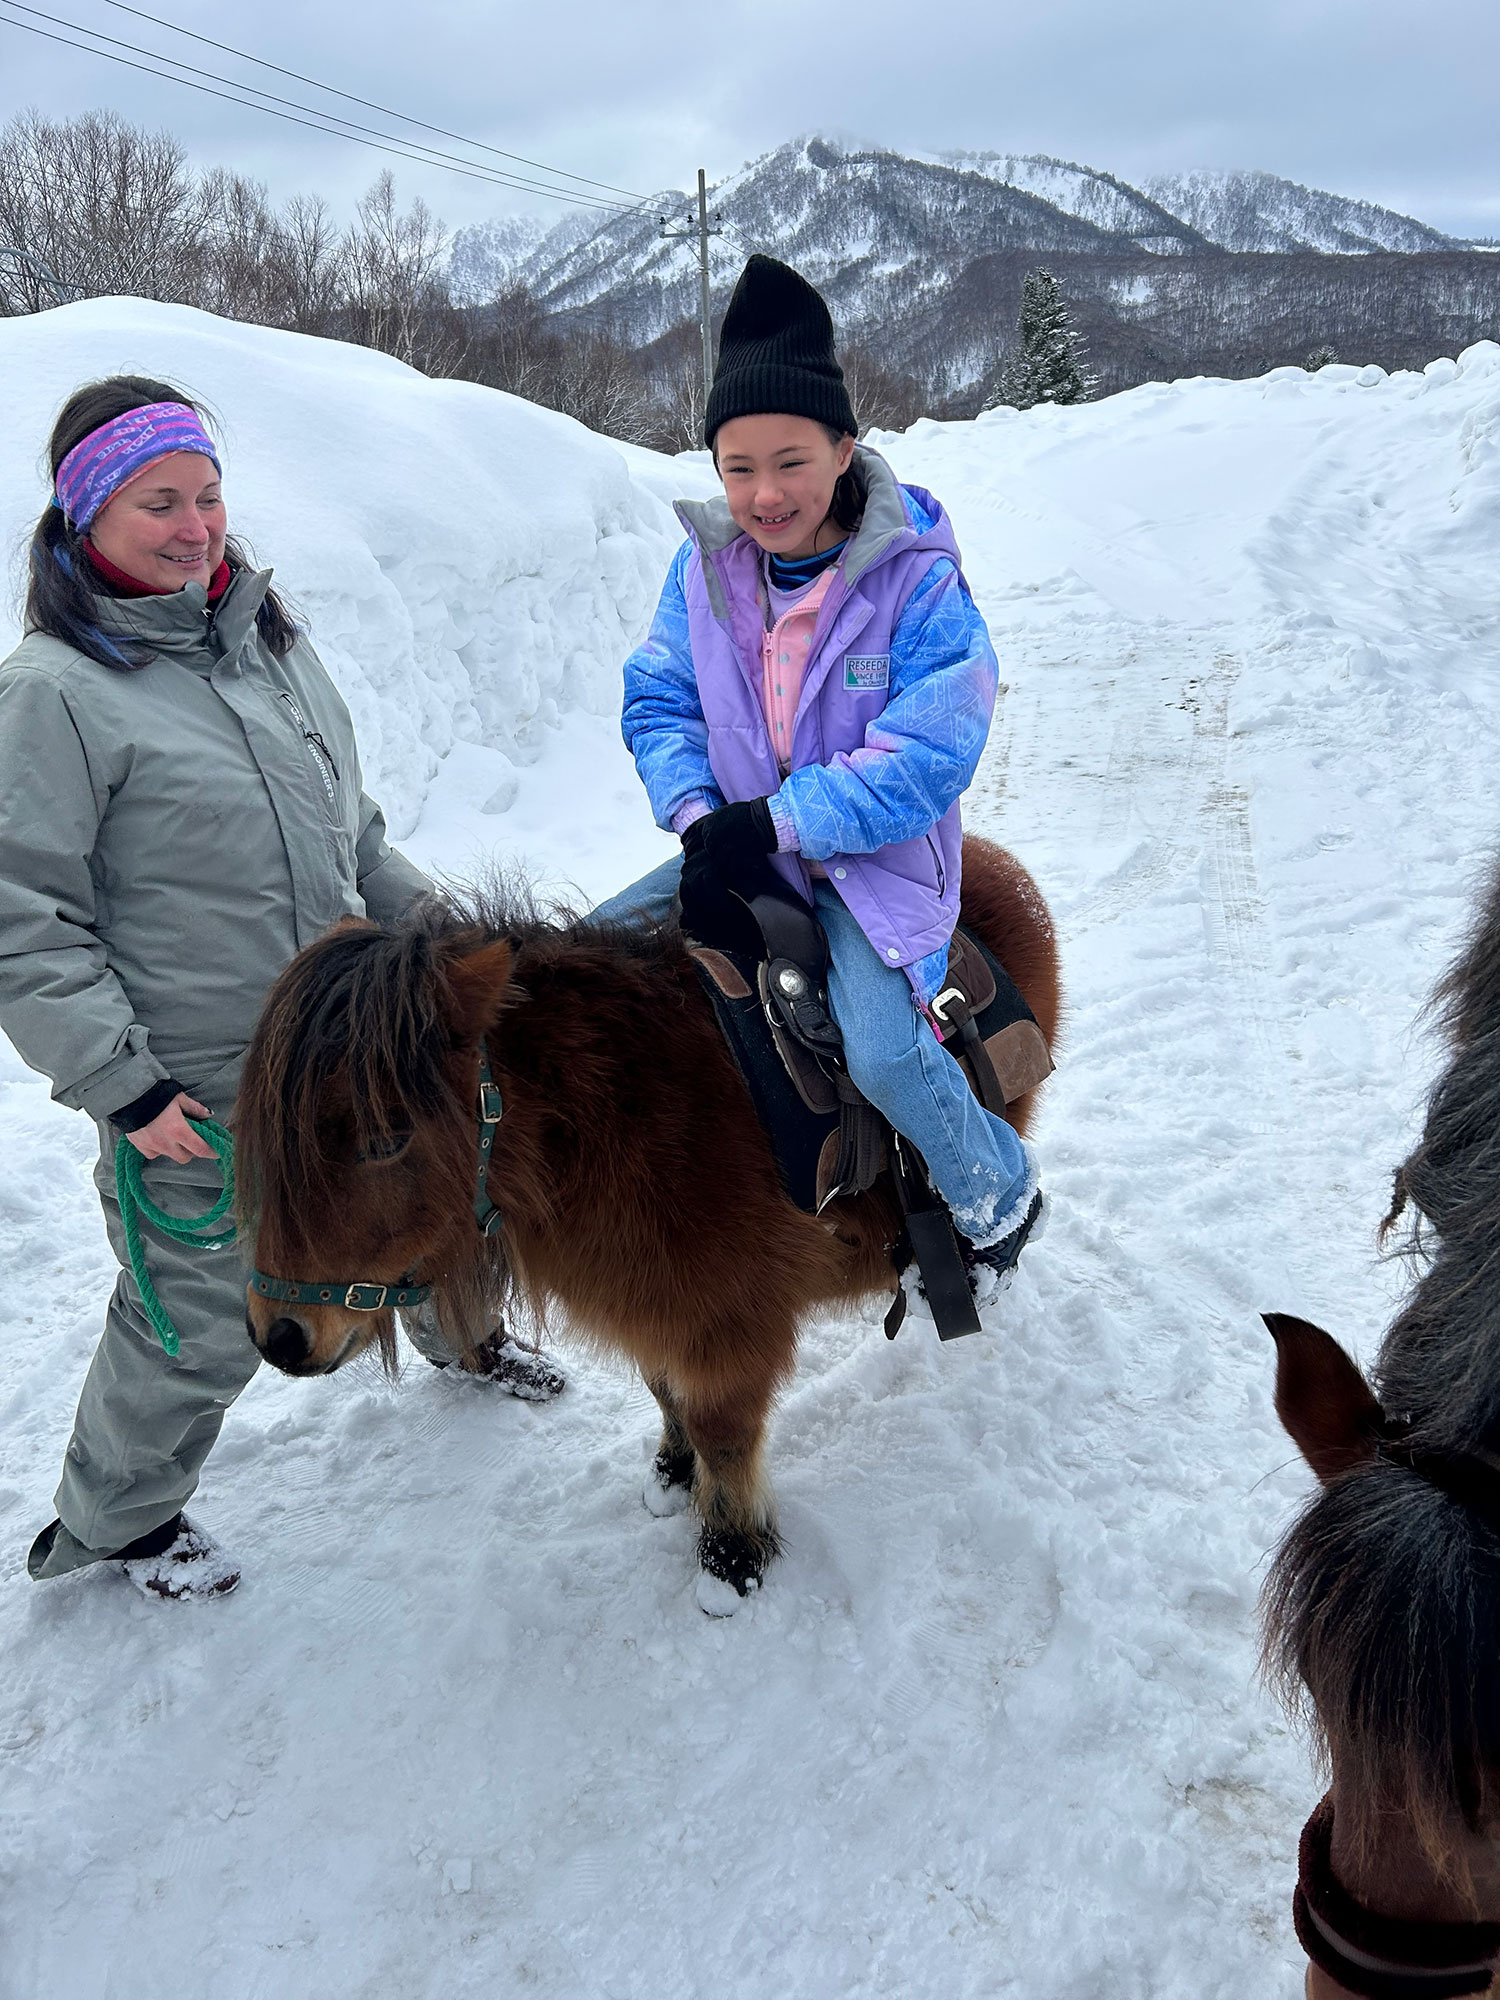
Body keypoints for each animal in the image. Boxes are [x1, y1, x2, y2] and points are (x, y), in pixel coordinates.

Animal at [236, 835, 1060, 1610]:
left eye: (385, 1138)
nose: (279, 1336)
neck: (625, 1118)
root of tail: (993, 861)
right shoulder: (659, 1304)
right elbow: (666, 1394)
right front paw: (672, 1475)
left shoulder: (729, 1327)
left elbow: (723, 1436)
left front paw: (731, 1559)